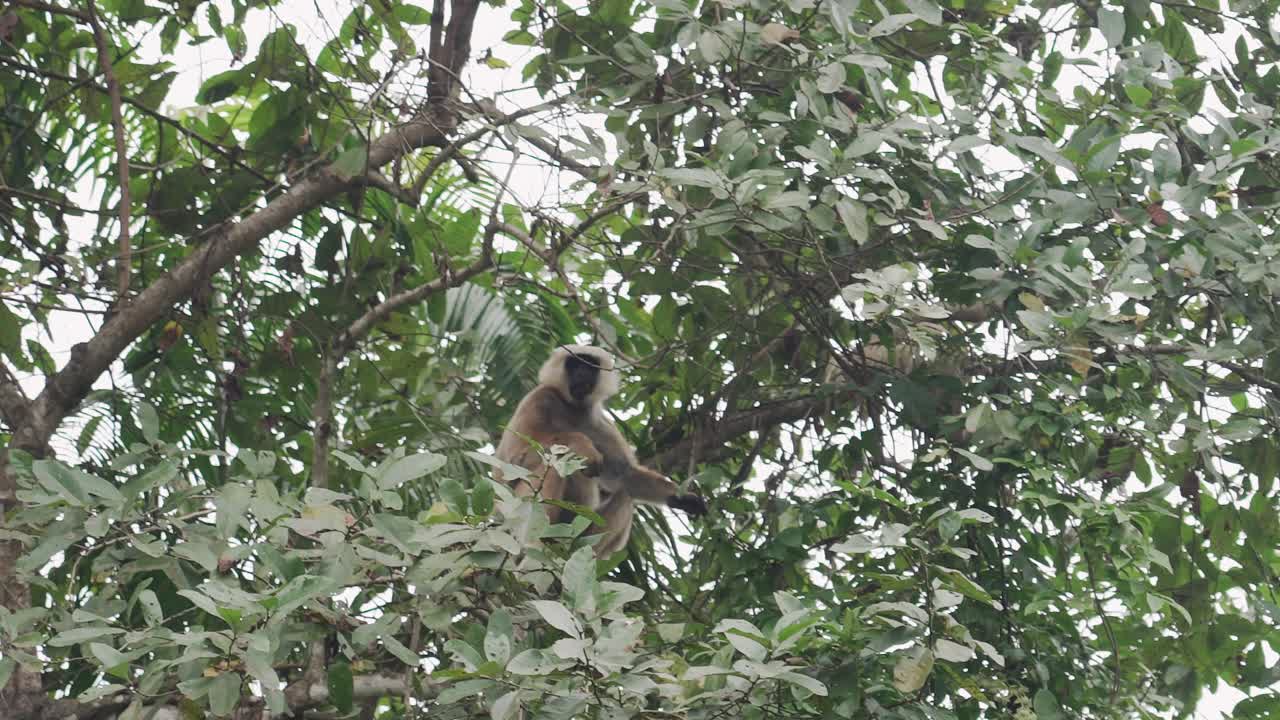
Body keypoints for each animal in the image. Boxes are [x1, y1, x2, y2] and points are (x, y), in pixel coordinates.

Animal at [495, 345, 707, 556]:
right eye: (574, 364)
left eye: (590, 365)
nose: (582, 373)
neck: (573, 409)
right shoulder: (540, 397)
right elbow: (515, 461)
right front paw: (584, 446)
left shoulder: (599, 423)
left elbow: (625, 475)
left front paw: (683, 498)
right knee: (557, 463)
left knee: (623, 495)